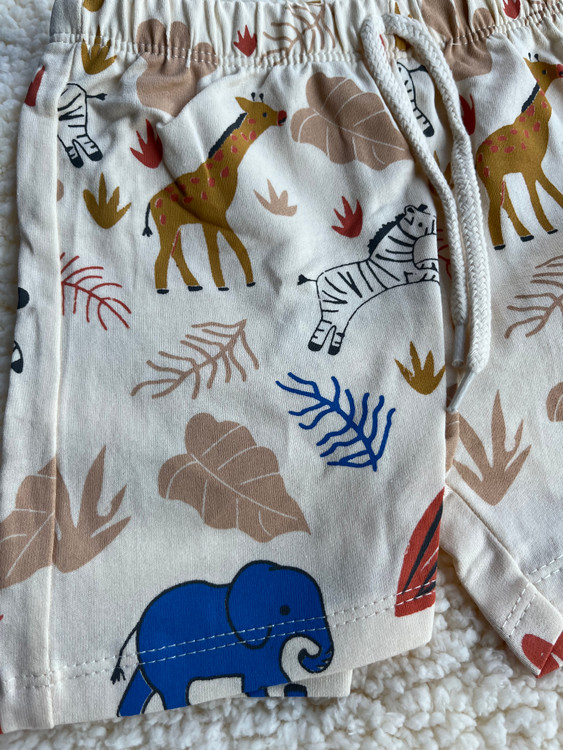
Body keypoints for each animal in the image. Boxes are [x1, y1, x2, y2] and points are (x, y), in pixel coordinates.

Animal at [111, 560, 334, 716]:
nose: (304, 653)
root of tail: (137, 625)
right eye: (285, 610)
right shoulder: (253, 645)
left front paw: (293, 689)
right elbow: (265, 678)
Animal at [143, 95, 287, 293]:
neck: (223, 169)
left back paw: (194, 285)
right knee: (163, 254)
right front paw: (231, 284)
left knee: (175, 252)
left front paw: (234, 282)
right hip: (167, 226)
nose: (282, 115)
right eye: (264, 113)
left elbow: (222, 248)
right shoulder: (216, 217)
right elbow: (228, 247)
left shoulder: (213, 221)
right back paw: (163, 289)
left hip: (175, 226)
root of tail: (150, 203)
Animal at [476, 57, 563, 250]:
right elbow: (536, 195)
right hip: (493, 179)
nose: (561, 68)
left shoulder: (534, 167)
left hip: (499, 179)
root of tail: (476, 158)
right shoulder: (529, 168)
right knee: (494, 208)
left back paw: (526, 235)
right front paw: (549, 228)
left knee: (505, 203)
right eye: (543, 70)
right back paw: (500, 244)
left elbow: (549, 188)